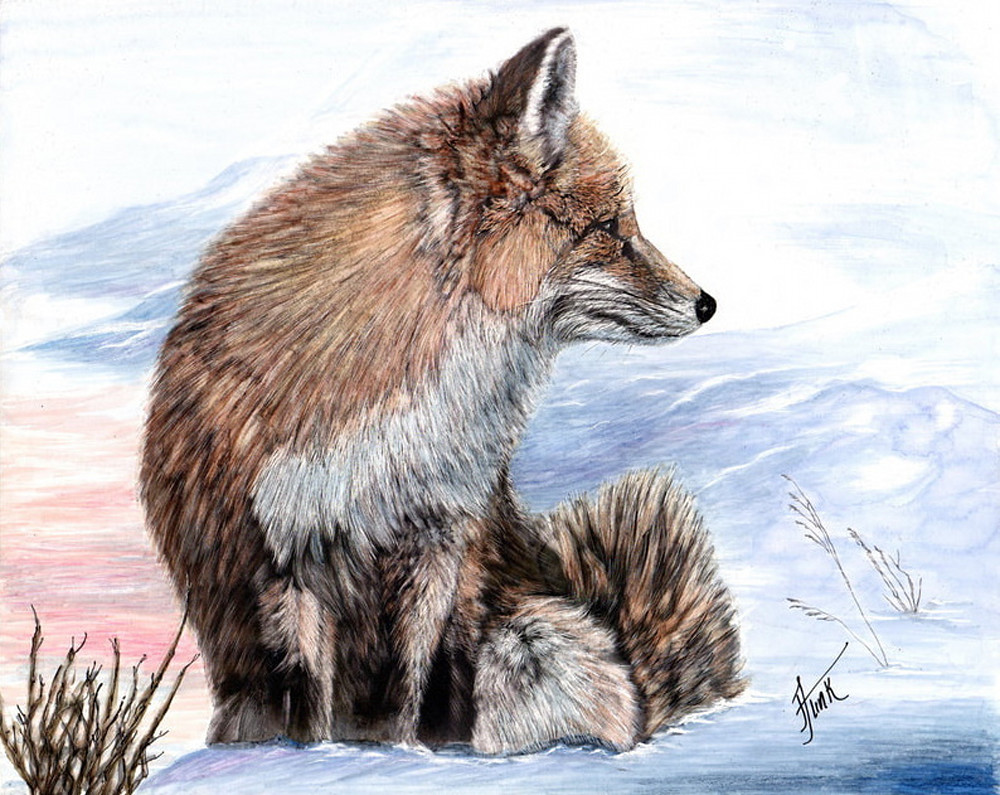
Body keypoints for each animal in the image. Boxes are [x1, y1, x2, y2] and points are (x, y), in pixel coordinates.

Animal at [141, 27, 742, 753]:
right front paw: (318, 759)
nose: (707, 303)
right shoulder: (287, 559)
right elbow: (308, 707)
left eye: (626, 223)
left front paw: (399, 756)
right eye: (608, 229)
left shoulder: (439, 538)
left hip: (530, 642)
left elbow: (408, 688)